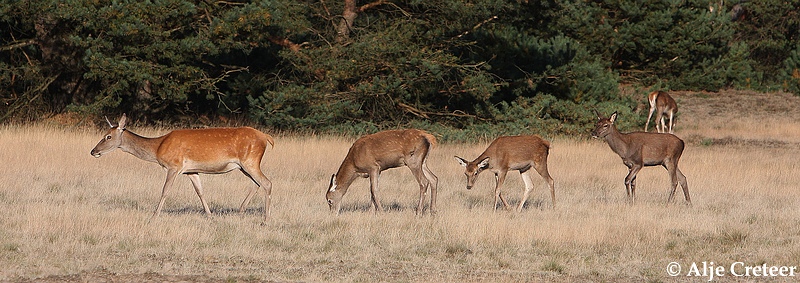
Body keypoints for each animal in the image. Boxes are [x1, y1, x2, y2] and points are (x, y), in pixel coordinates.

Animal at [91, 114, 276, 223]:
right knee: (257, 183)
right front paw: (210, 215)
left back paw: (265, 219)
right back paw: (241, 210)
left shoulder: (174, 166)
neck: (158, 148)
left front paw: (154, 216)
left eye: (108, 136)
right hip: (244, 165)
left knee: (267, 183)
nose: (93, 151)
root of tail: (266, 137)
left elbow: (165, 190)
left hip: (250, 160)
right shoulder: (191, 170)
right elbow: (200, 191)